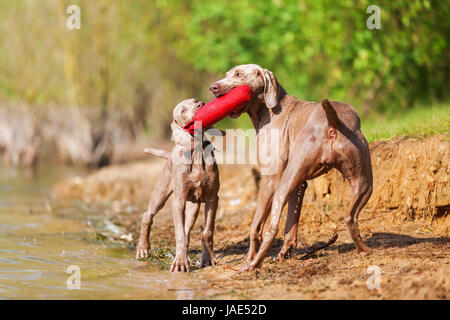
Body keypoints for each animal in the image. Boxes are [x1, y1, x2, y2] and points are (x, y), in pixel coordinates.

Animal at [137, 98, 221, 272]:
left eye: (196, 101)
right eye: (183, 111)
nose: (200, 105)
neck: (197, 152)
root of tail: (170, 154)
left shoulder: (213, 198)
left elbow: (207, 231)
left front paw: (208, 258)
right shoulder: (178, 202)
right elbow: (180, 234)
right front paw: (180, 263)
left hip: (193, 207)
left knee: (188, 231)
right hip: (161, 193)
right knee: (147, 215)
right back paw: (143, 248)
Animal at [211, 63, 372, 272]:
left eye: (239, 74)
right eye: (227, 74)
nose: (213, 87)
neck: (269, 110)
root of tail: (333, 123)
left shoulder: (270, 180)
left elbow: (256, 227)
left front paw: (248, 257)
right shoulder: (300, 184)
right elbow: (291, 225)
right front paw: (283, 254)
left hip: (281, 186)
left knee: (271, 228)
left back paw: (253, 264)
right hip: (364, 182)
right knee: (350, 217)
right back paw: (364, 250)